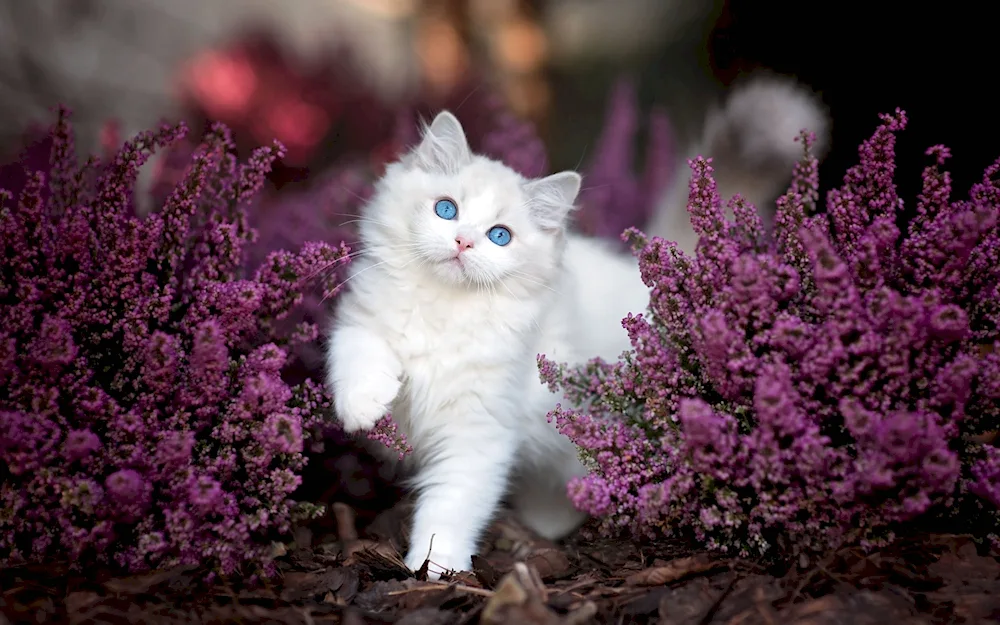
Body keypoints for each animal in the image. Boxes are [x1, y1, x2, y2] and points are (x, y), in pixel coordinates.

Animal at [326, 111, 648, 576]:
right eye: (446, 210)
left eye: (499, 236)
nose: (463, 241)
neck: (444, 308)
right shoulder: (360, 321)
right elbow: (356, 354)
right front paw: (363, 408)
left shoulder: (478, 431)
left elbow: (450, 506)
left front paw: (435, 567)